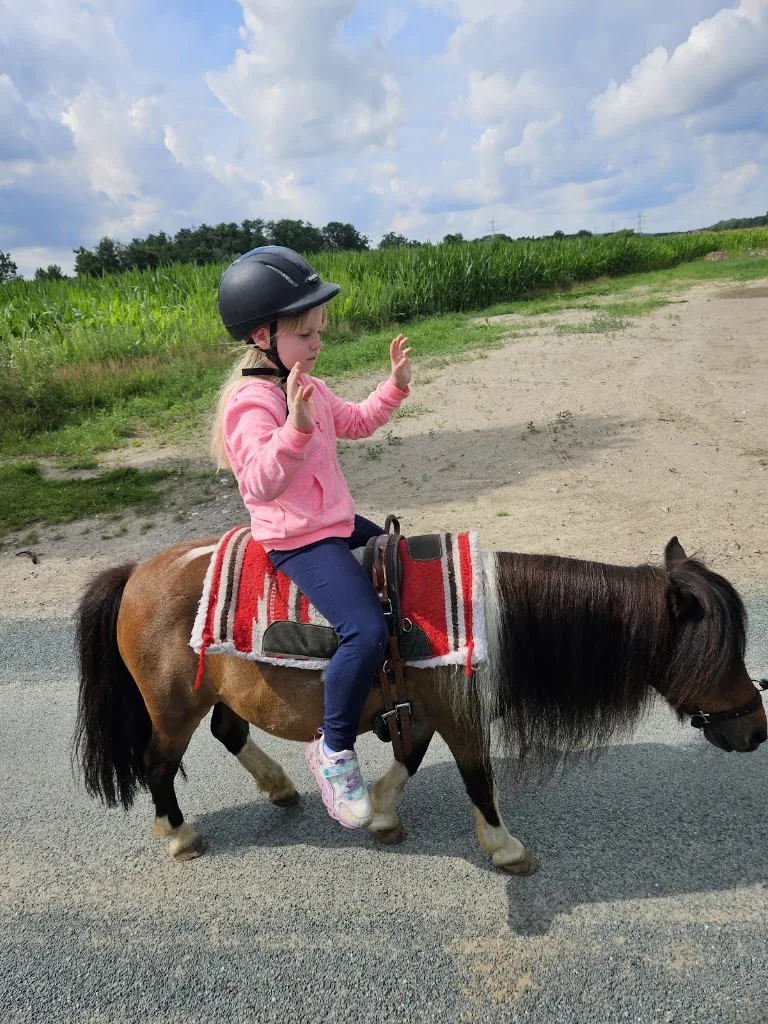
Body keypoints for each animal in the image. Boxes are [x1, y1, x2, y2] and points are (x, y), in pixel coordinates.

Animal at [74, 534, 766, 872]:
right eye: (720, 654)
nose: (758, 729)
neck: (486, 617)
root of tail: (136, 574)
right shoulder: (460, 716)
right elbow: (479, 779)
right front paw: (506, 848)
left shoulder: (429, 706)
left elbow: (409, 758)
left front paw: (380, 814)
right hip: (172, 707)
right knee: (157, 764)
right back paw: (179, 834)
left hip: (220, 690)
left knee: (228, 731)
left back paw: (281, 788)